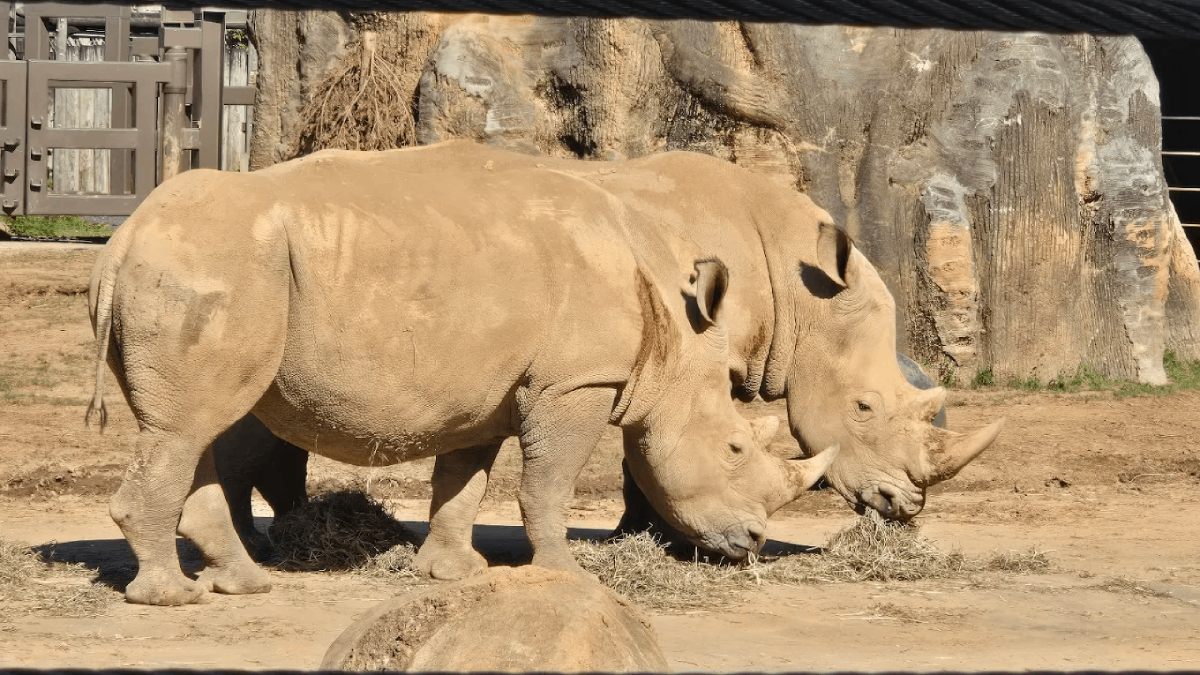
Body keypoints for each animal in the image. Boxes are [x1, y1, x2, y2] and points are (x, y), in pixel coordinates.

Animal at [86, 142, 838, 605]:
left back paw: (244, 583)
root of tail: (125, 236)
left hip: (202, 266)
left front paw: (453, 573)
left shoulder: (485, 392)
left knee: (194, 430)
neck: (674, 342)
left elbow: (464, 481)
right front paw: (567, 575)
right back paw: (171, 597)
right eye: (735, 448)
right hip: (210, 267)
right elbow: (547, 485)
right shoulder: (576, 383)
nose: (753, 543)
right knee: (184, 431)